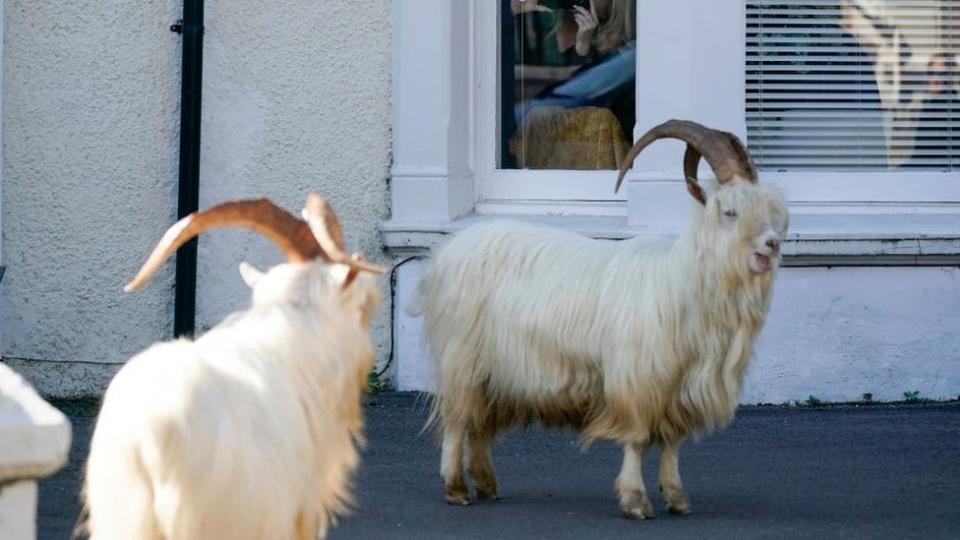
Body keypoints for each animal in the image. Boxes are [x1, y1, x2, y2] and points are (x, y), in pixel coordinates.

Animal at [418, 119, 788, 520]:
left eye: (770, 211)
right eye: (730, 212)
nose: (772, 244)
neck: (679, 283)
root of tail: (446, 253)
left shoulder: (676, 388)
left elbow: (671, 442)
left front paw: (676, 496)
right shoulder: (637, 381)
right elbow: (637, 439)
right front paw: (635, 500)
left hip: (496, 374)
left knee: (480, 424)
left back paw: (486, 483)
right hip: (461, 359)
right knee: (458, 420)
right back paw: (456, 488)